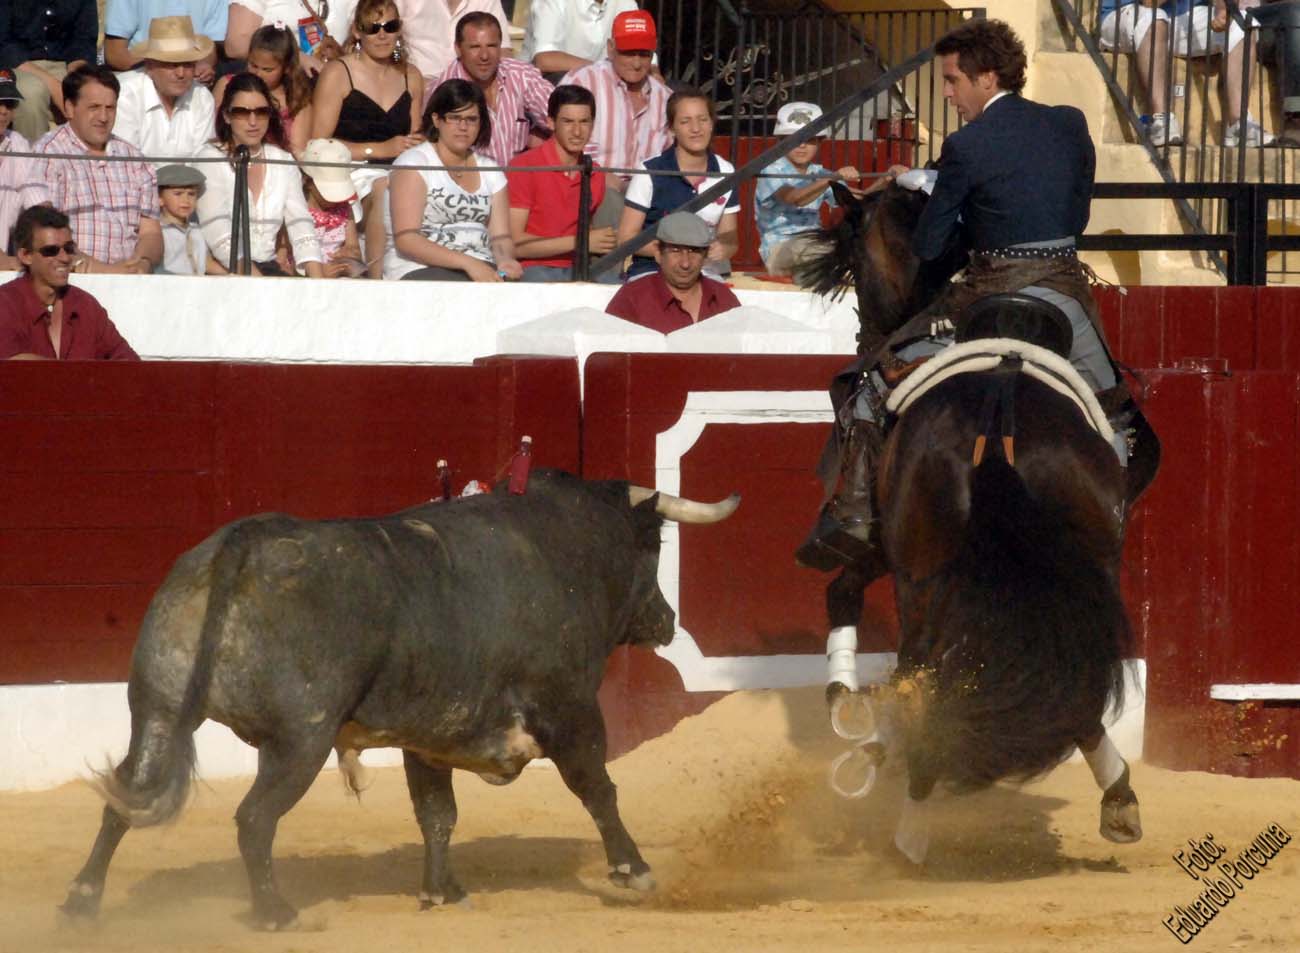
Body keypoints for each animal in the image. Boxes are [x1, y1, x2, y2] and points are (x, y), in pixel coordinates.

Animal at [61, 473, 738, 925]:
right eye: (653, 549)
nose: (666, 619)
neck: (562, 547)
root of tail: (243, 542)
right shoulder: (570, 709)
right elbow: (596, 788)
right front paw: (634, 870)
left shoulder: (428, 736)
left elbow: (436, 813)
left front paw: (441, 892)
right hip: (301, 739)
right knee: (253, 818)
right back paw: (276, 912)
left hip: (157, 710)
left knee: (123, 799)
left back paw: (82, 902)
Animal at [795, 184, 1144, 863]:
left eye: (855, 259)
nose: (866, 337)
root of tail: (1000, 400)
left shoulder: (882, 547)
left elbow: (839, 589)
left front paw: (849, 711)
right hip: (1084, 567)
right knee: (1072, 677)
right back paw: (1115, 797)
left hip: (922, 579)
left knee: (927, 672)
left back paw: (909, 825)